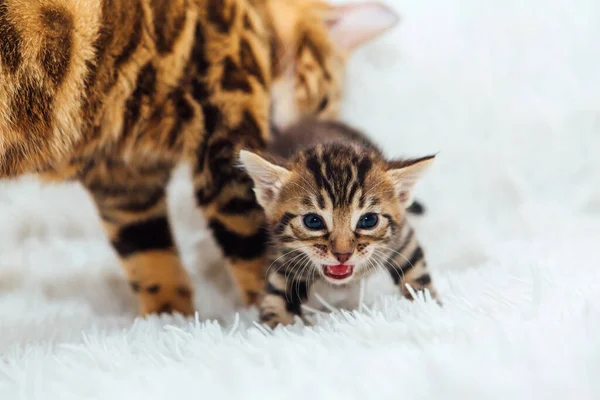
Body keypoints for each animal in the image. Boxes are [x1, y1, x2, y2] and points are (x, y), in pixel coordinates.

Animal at [0, 1, 398, 318]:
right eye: (322, 104)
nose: (304, 139)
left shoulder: (126, 182)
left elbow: (149, 256)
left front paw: (168, 322)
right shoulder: (227, 151)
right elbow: (261, 255)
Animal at [239, 120, 440, 326]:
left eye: (369, 220)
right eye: (313, 221)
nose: (343, 255)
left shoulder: (402, 237)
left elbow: (416, 270)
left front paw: (428, 306)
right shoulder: (282, 254)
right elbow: (277, 293)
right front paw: (275, 327)